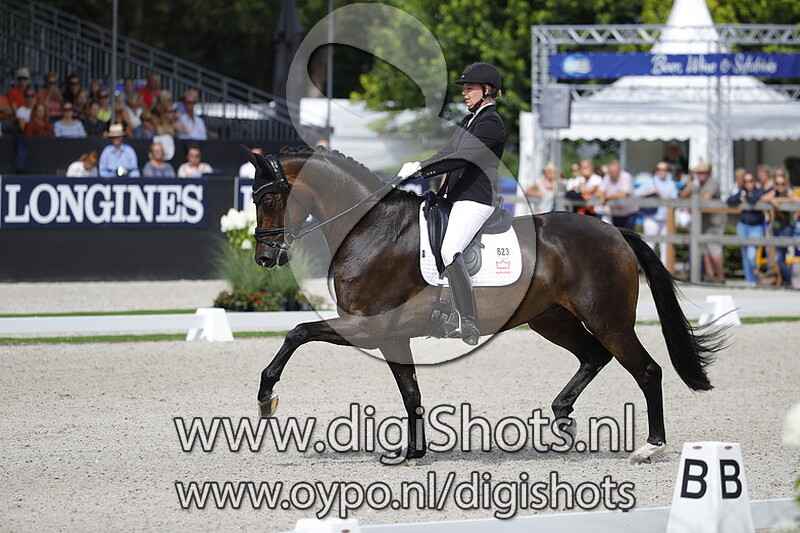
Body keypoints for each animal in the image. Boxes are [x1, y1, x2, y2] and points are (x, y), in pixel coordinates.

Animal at [246, 146, 728, 464]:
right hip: (553, 321)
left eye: (268, 199)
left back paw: (650, 446)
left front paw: (266, 398)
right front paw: (412, 452)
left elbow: (296, 333)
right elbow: (410, 391)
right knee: (594, 356)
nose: (266, 259)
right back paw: (563, 417)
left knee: (646, 370)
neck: (372, 229)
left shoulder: (368, 326)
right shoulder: (391, 335)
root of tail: (614, 232)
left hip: (609, 321)